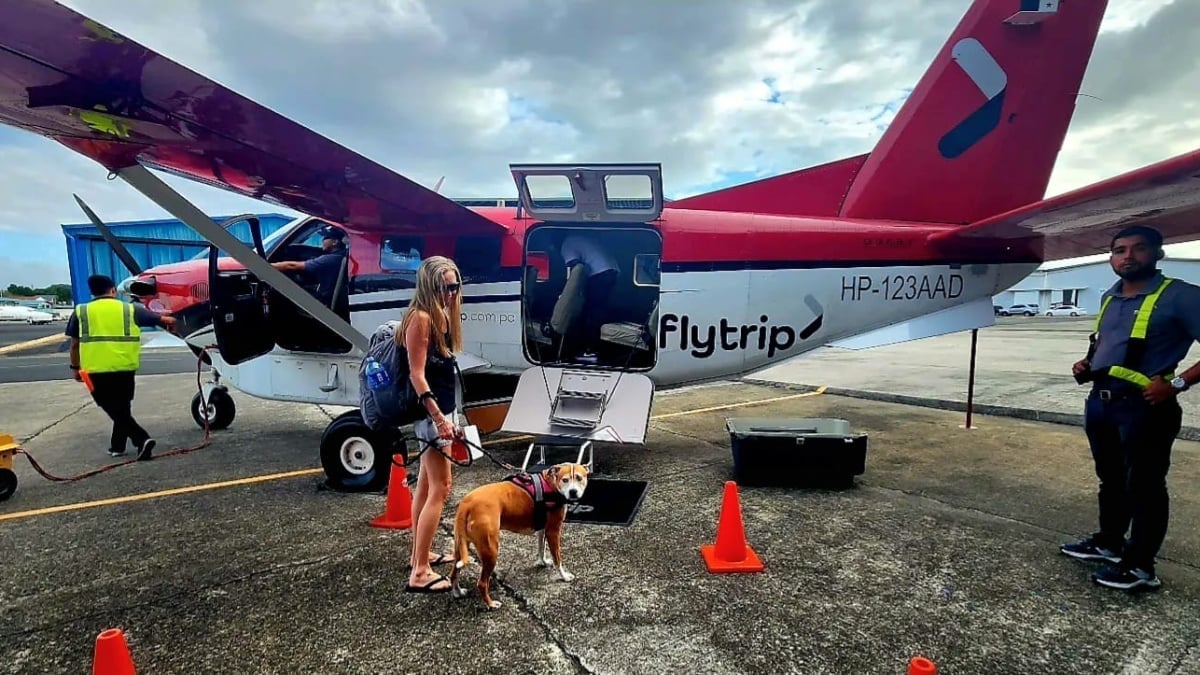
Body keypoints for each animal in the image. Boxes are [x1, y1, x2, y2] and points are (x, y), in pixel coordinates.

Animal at [448, 458, 588, 607]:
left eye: (579, 478)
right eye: (565, 480)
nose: (573, 492)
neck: (551, 483)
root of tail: (466, 503)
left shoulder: (542, 529)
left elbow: (541, 548)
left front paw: (543, 562)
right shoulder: (553, 531)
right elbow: (558, 559)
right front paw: (564, 576)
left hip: (461, 547)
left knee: (454, 572)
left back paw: (458, 592)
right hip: (491, 550)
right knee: (482, 583)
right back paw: (491, 604)